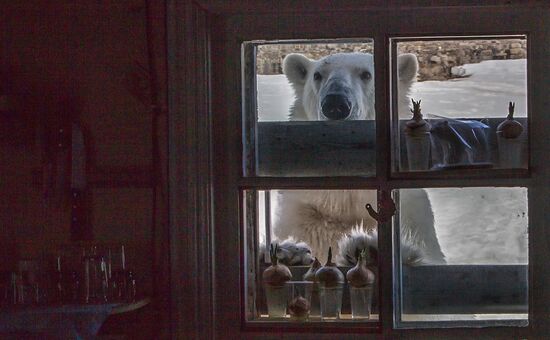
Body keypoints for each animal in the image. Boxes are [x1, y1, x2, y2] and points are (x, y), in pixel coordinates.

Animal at [274, 52, 446, 266]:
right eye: (317, 75)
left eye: (366, 74)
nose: (335, 104)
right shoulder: (302, 216)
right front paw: (290, 251)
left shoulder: (411, 214)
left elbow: (432, 256)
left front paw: (370, 248)